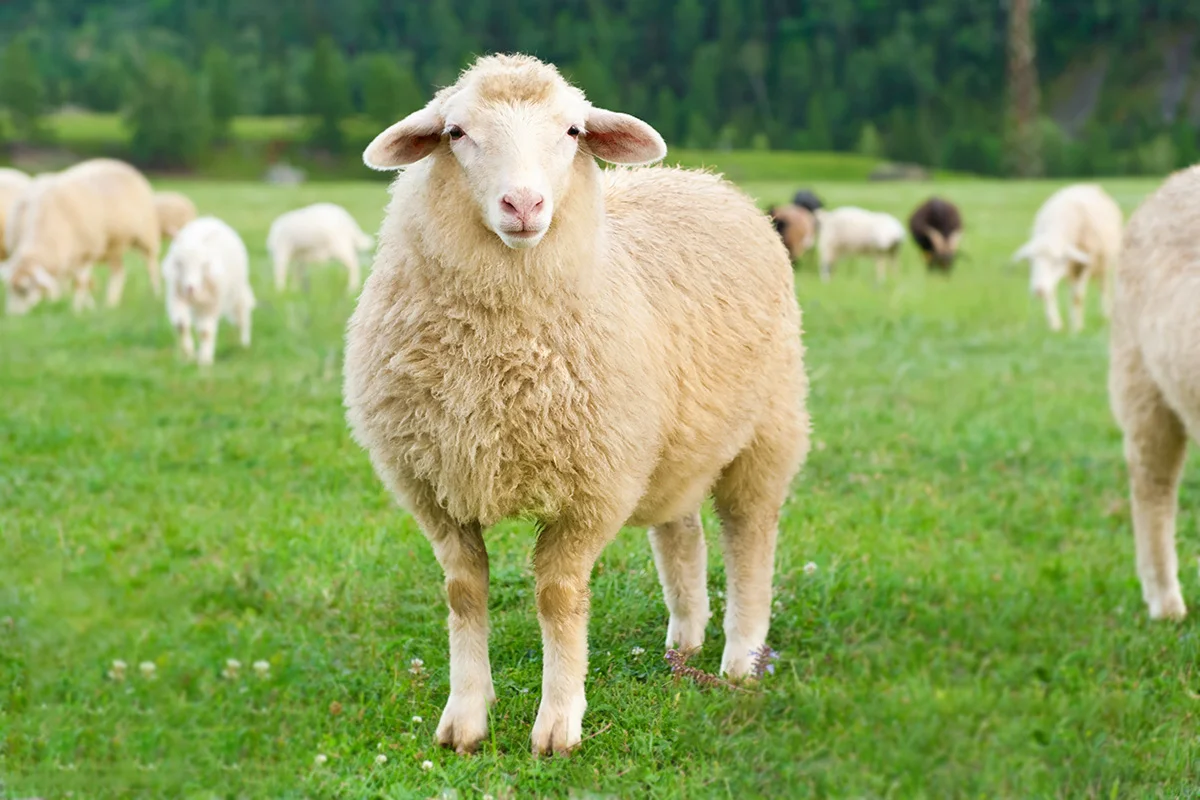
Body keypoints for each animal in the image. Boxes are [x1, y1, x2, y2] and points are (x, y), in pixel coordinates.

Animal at [1, 159, 161, 314]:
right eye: (9, 289)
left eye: (24, 290)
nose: (14, 316)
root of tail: (123, 165)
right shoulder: (67, 257)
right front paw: (83, 306)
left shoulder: (86, 253)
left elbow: (80, 284)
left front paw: (76, 311)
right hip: (113, 246)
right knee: (119, 273)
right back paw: (111, 304)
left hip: (146, 235)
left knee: (151, 265)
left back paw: (156, 295)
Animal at [162, 216, 255, 366]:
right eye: (179, 263)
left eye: (203, 264)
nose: (190, 288)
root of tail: (210, 218)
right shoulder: (176, 295)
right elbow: (182, 325)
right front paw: (188, 355)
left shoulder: (213, 303)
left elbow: (205, 332)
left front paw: (205, 360)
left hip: (237, 292)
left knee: (243, 313)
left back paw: (244, 343)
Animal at [344, 54, 809, 757]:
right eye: (456, 132)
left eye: (572, 131)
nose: (524, 203)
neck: (498, 353)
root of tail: (705, 180)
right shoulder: (434, 485)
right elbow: (463, 592)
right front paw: (465, 719)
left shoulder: (593, 483)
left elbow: (559, 598)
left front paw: (559, 723)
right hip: (671, 440)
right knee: (682, 532)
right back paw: (683, 642)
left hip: (767, 429)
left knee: (749, 536)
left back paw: (740, 660)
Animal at [1013, 183, 1122, 333]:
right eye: (1030, 261)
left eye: (1057, 260)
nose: (1038, 290)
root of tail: (1088, 185)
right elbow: (1052, 293)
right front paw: (1055, 325)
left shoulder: (1086, 264)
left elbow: (1077, 297)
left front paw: (1077, 328)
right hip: (1073, 270)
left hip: (1107, 263)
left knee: (1104, 287)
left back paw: (1106, 316)